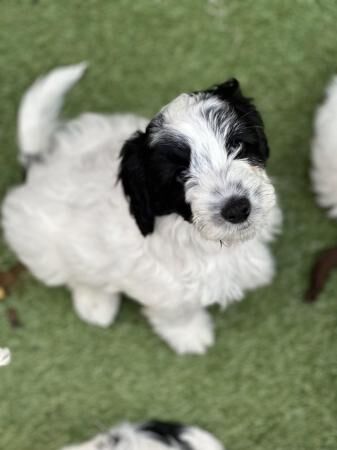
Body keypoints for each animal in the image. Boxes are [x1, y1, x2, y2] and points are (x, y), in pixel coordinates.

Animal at [1, 63, 280, 354]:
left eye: (237, 146)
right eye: (179, 175)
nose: (237, 209)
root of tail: (38, 165)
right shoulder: (162, 285)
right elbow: (176, 311)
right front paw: (191, 335)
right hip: (39, 241)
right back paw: (96, 304)